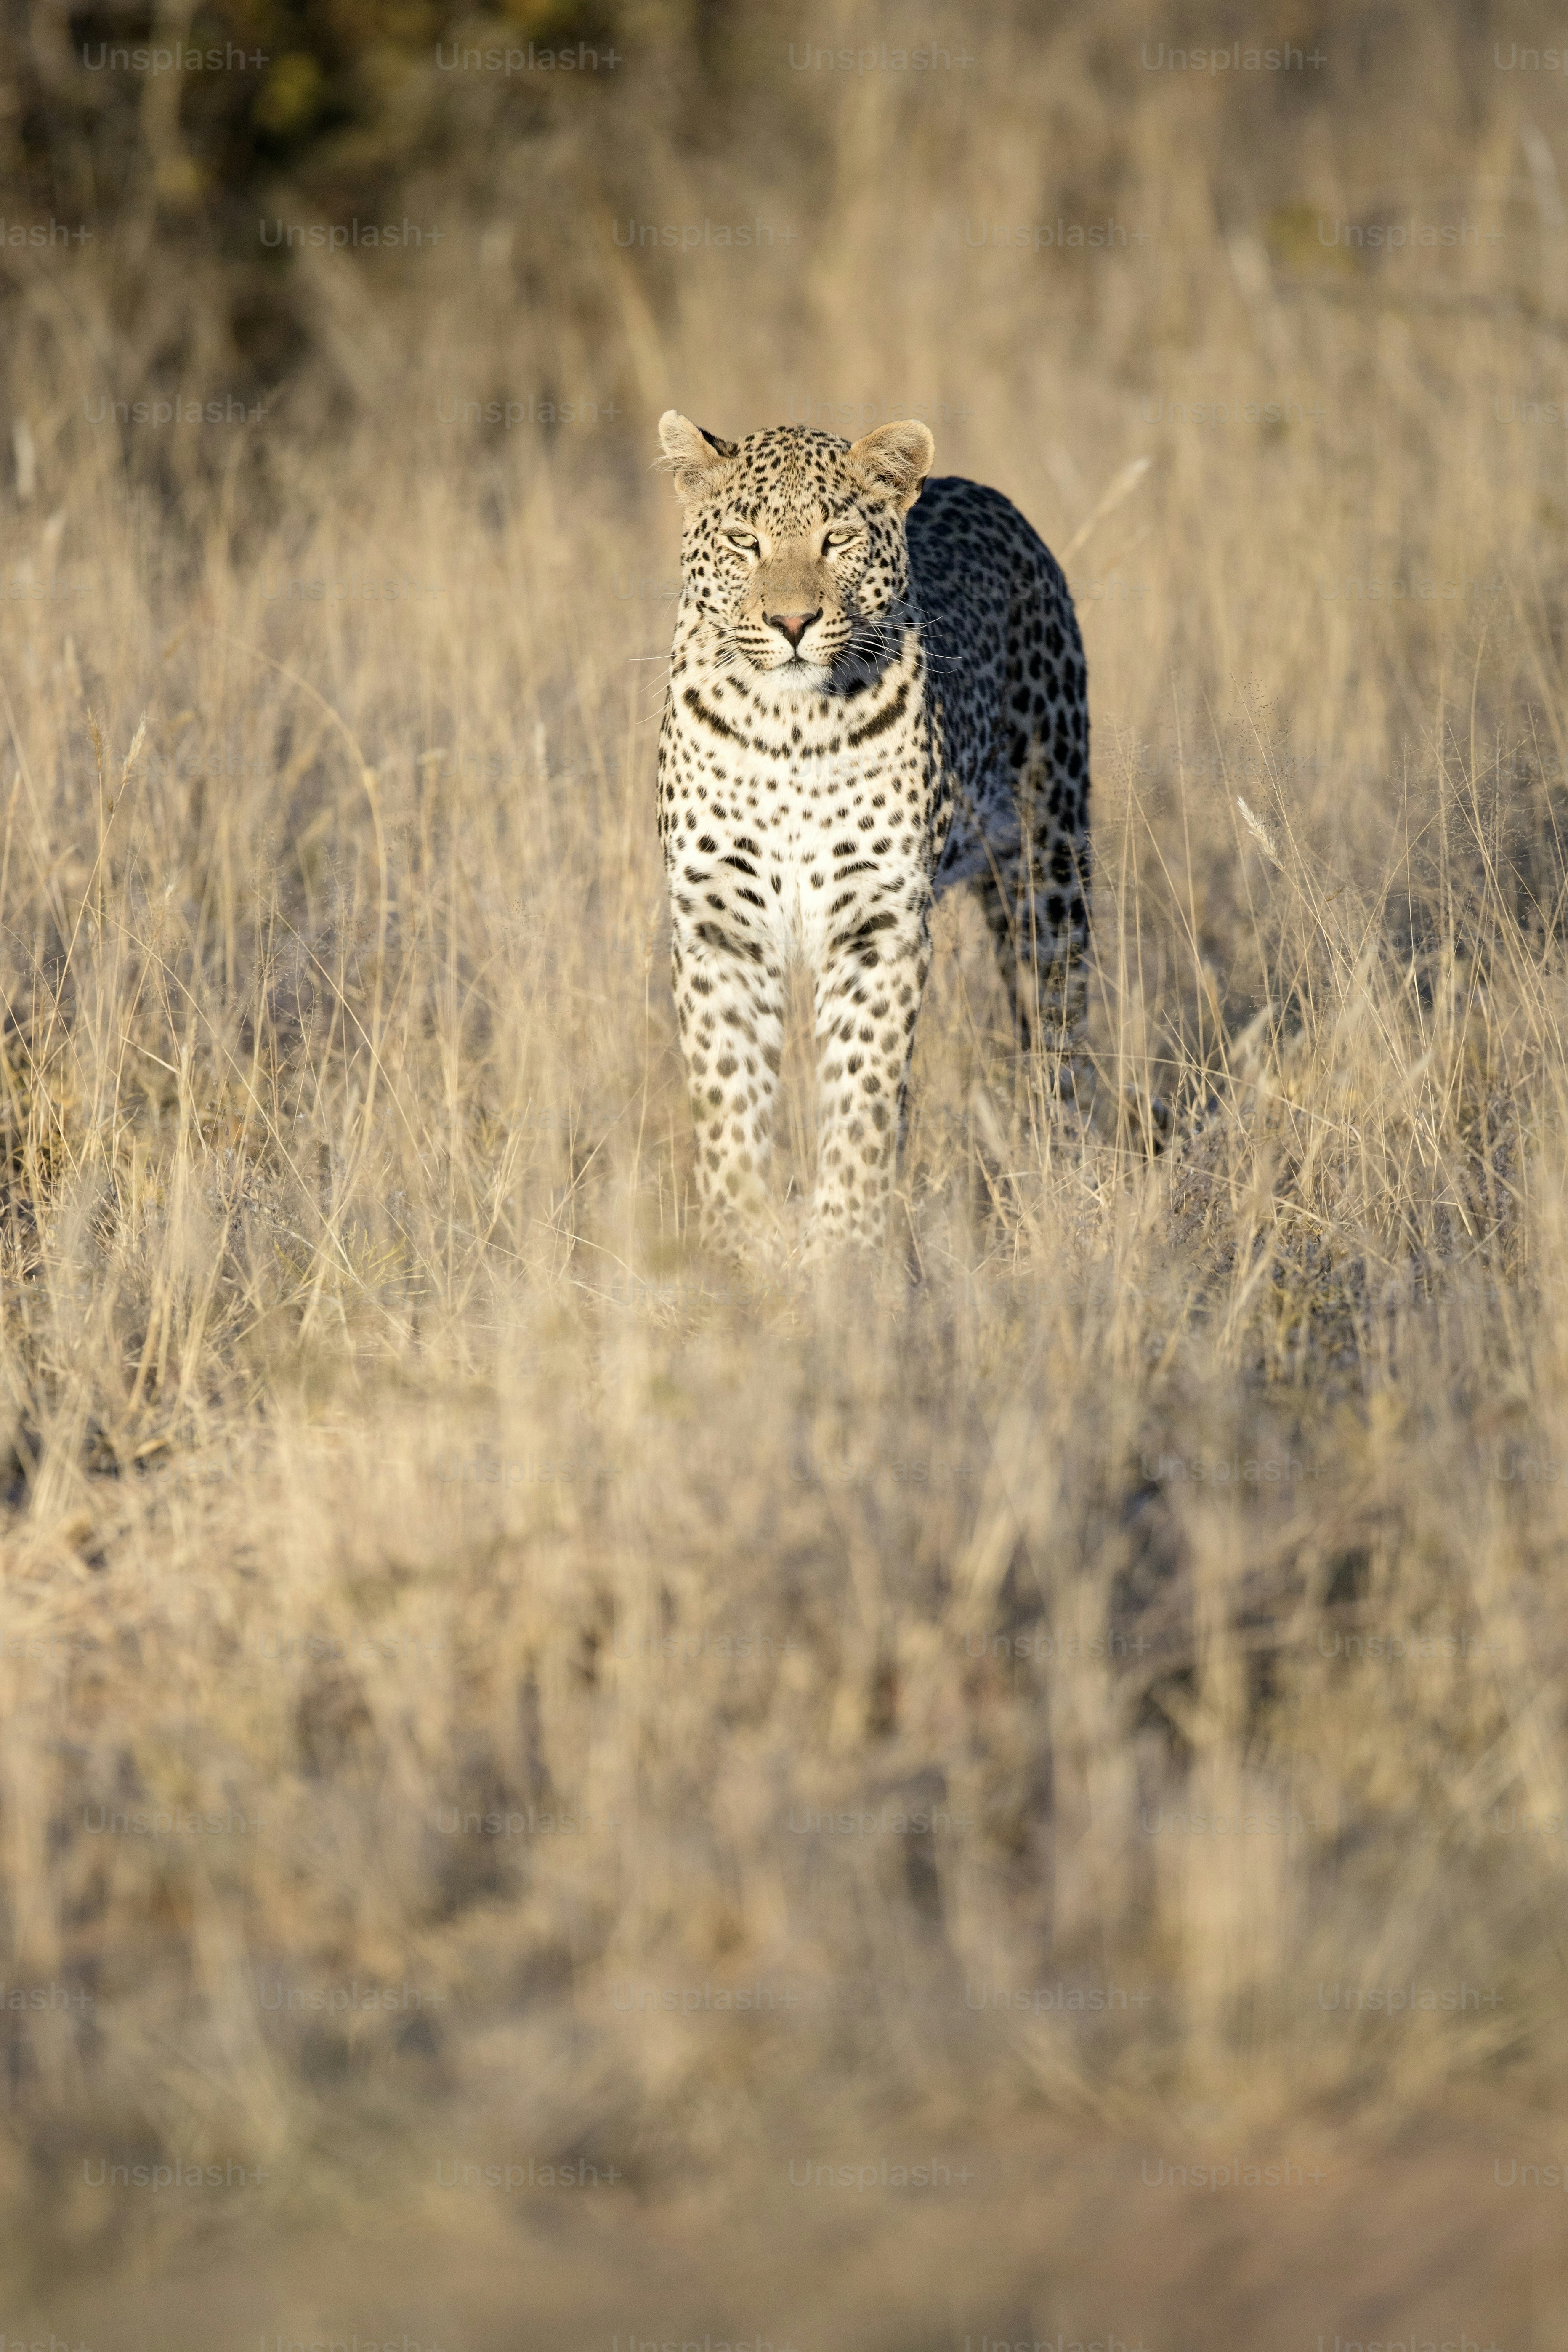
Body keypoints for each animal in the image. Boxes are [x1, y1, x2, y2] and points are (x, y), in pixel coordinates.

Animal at [655, 410, 1090, 1256]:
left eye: (837, 539)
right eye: (744, 540)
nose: (792, 622)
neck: (788, 726)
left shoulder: (877, 923)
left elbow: (862, 1090)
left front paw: (846, 1242)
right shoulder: (720, 923)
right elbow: (728, 1094)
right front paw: (740, 1240)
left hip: (1050, 859)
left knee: (1060, 1027)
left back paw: (1065, 1183)